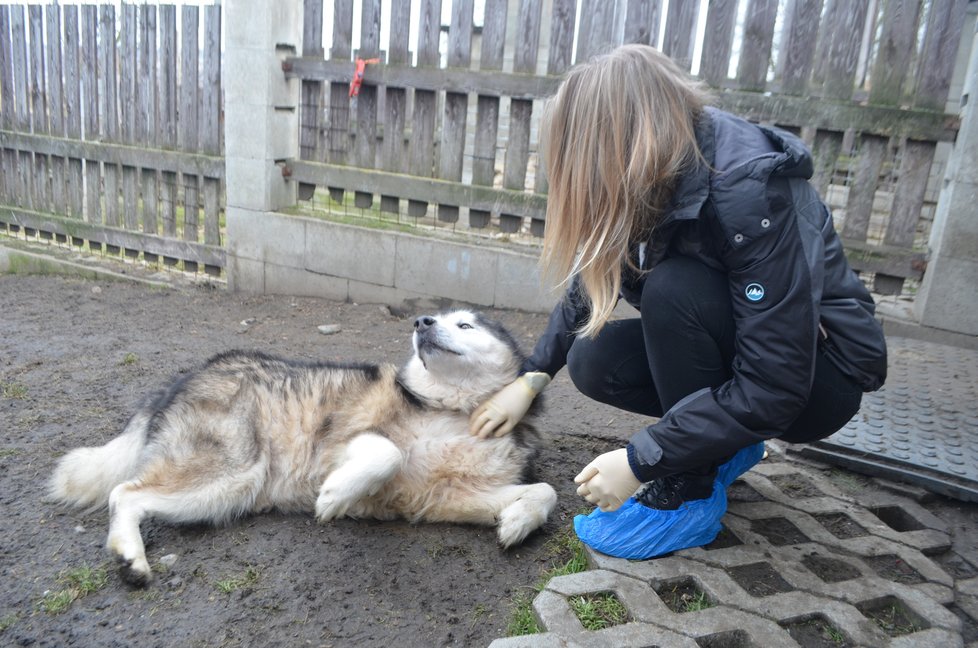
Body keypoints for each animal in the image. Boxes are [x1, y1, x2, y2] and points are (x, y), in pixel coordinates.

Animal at [49, 310, 556, 588]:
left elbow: (545, 492)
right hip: (230, 473)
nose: (421, 322)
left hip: (226, 493)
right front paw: (336, 495)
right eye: (438, 317)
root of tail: (191, 373)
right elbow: (386, 454)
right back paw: (130, 556)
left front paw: (517, 521)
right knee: (124, 493)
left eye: (465, 323)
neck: (456, 408)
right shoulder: (349, 438)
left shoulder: (449, 498)